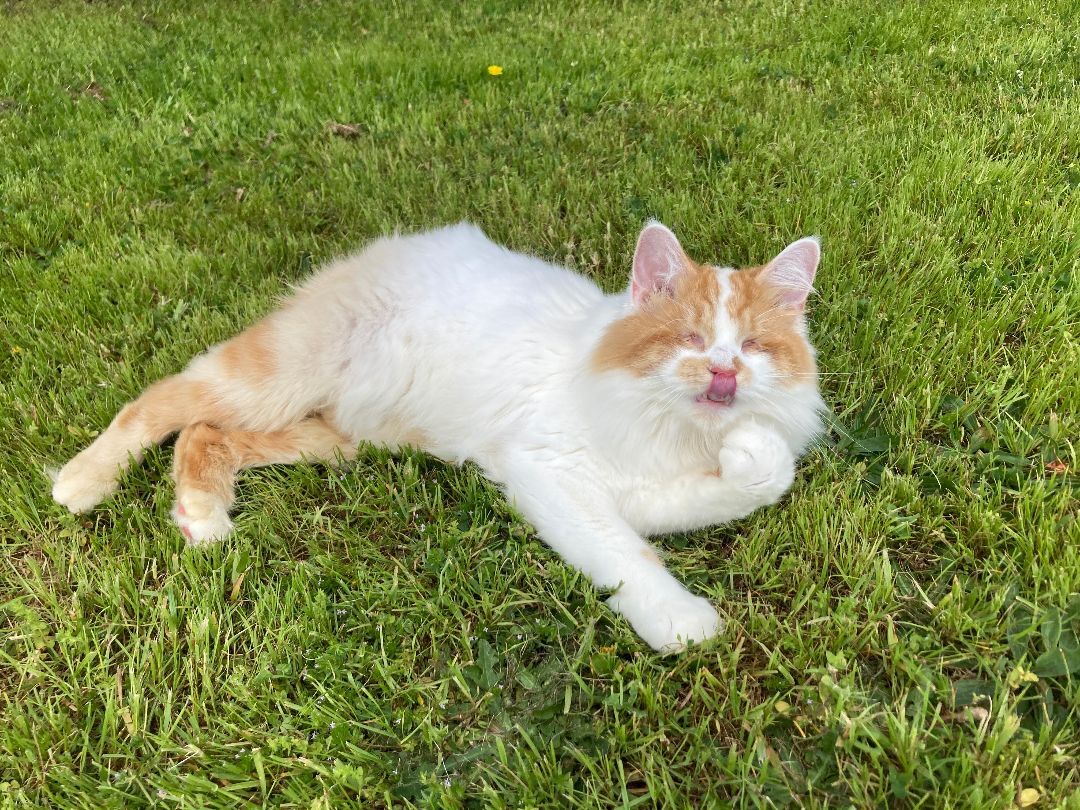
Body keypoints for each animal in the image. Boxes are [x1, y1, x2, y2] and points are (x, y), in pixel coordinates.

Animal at [50, 222, 820, 652]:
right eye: (688, 338)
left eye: (753, 346)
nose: (723, 372)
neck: (671, 427)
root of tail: (385, 248)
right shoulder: (547, 472)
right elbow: (624, 556)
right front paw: (678, 621)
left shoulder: (634, 491)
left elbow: (760, 482)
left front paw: (748, 454)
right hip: (276, 378)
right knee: (162, 402)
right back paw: (85, 480)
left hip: (336, 436)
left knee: (206, 433)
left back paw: (201, 512)